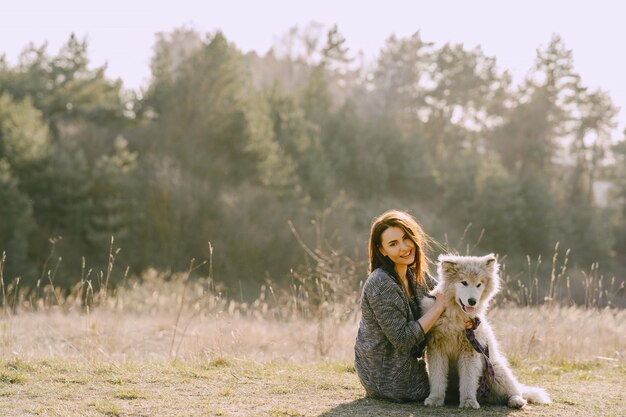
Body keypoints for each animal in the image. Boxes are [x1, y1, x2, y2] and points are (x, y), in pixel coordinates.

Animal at [416, 252, 548, 408]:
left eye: (479, 284)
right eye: (464, 282)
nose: (472, 301)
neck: (456, 317)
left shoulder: (470, 351)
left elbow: (468, 380)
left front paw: (468, 401)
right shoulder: (437, 350)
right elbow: (437, 378)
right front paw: (435, 399)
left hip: (495, 370)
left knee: (515, 391)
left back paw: (516, 401)